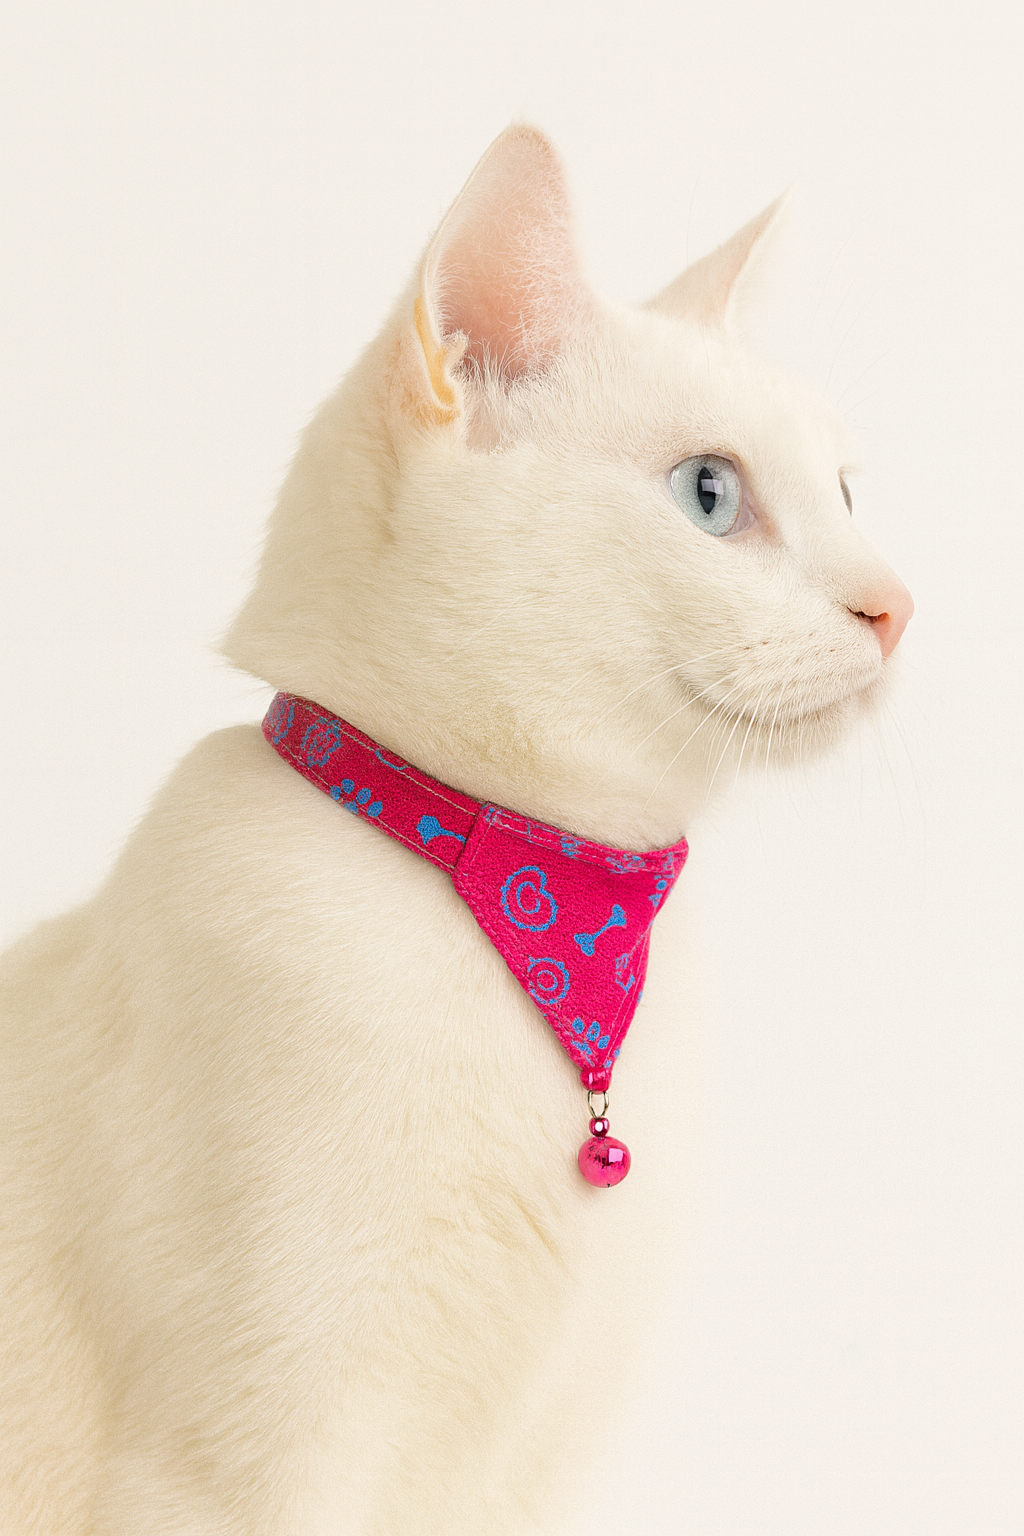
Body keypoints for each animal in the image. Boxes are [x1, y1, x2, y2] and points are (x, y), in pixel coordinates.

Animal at [0, 125, 911, 1535]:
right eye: (711, 495)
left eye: (849, 497)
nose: (898, 606)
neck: (532, 895)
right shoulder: (237, 1472)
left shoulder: (529, 1470)